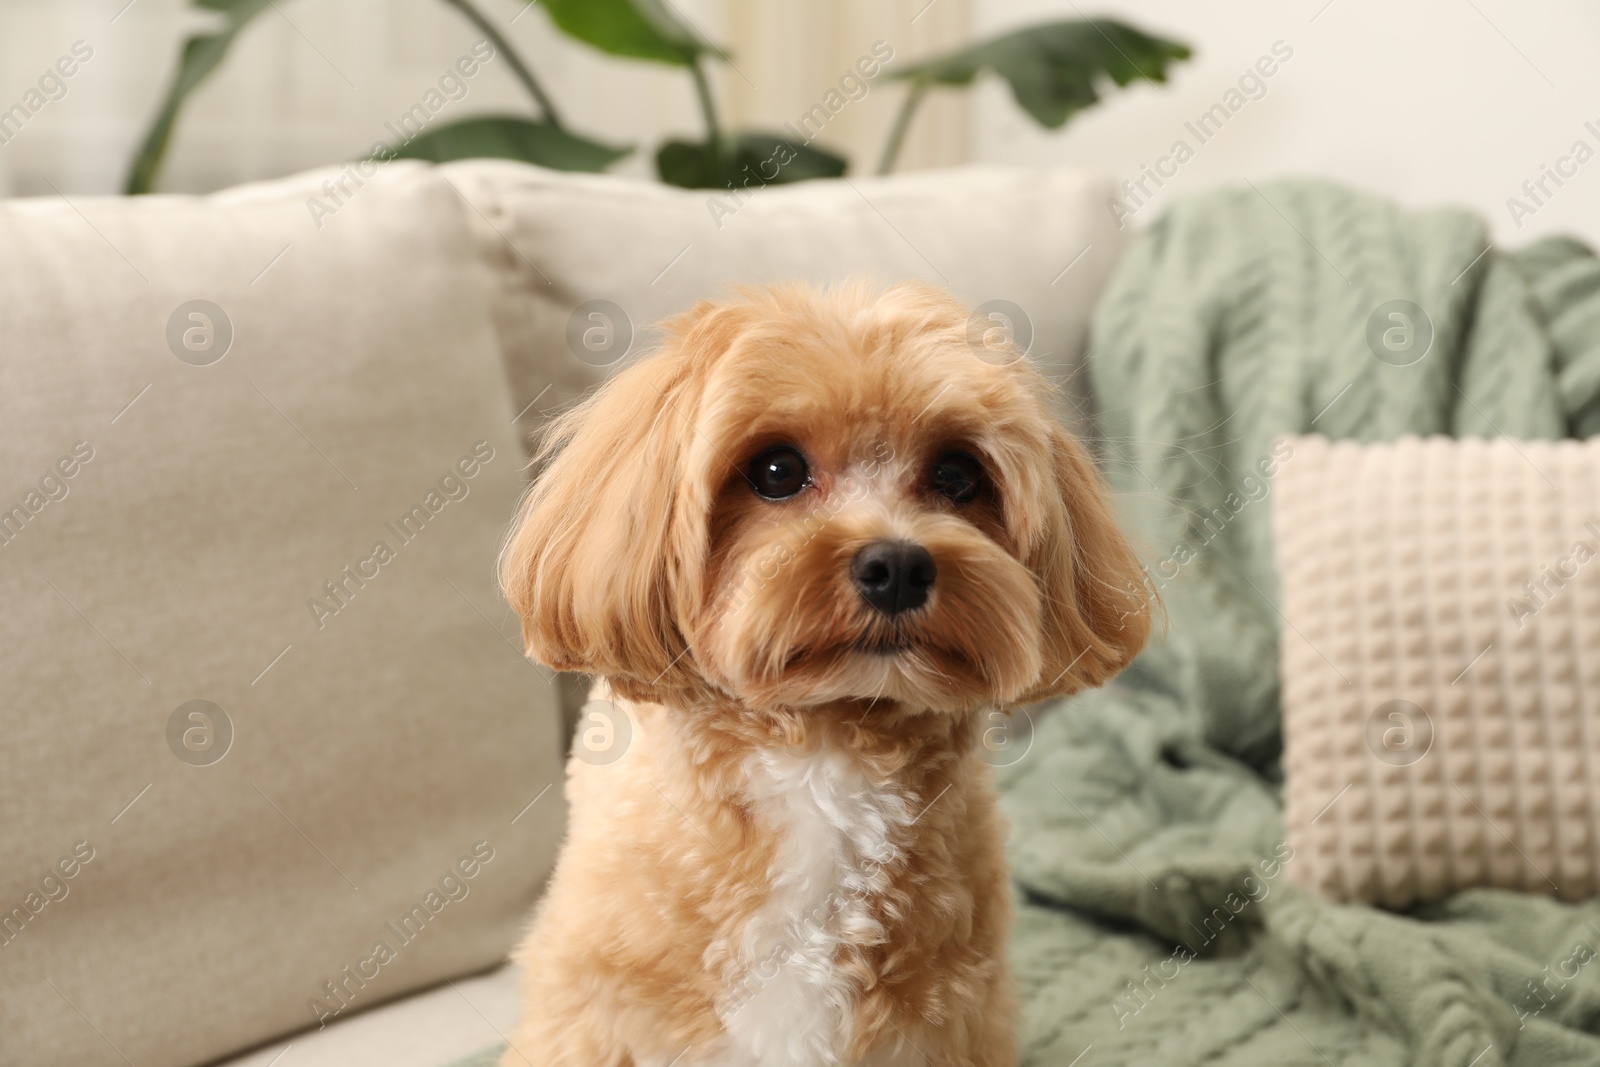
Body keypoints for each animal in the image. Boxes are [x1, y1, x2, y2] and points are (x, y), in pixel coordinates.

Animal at [499, 279, 1152, 1062]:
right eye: (777, 471)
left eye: (957, 475)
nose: (897, 564)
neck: (826, 748)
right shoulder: (594, 1015)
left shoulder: (950, 1021)